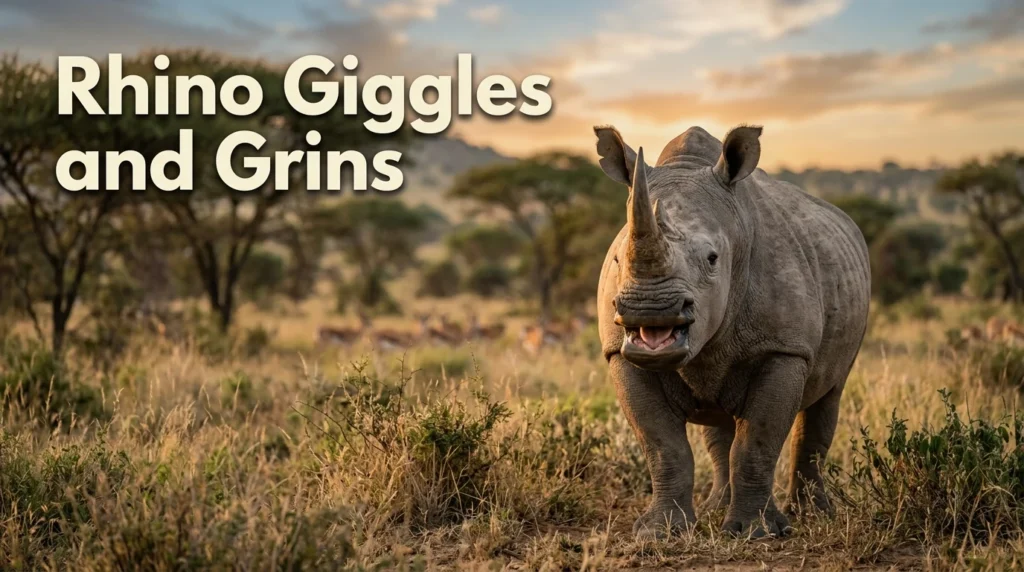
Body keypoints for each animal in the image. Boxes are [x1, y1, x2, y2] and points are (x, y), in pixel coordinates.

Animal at [594, 125, 870, 539]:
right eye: (616, 258)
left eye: (712, 259)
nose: (650, 310)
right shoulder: (620, 355)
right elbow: (663, 445)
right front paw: (661, 531)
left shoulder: (783, 348)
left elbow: (756, 443)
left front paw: (757, 532)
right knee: (719, 424)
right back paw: (716, 508)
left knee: (828, 397)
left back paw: (815, 515)